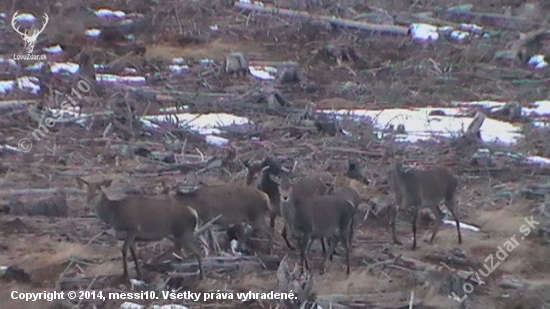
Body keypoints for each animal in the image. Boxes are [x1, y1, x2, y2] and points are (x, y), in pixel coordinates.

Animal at [77, 176, 205, 280]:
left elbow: (124, 250)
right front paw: (138, 274)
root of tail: (194, 213)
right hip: (178, 232)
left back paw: (201, 276)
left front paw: (125, 275)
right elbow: (133, 253)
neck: (114, 214)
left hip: (183, 231)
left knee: (197, 250)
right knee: (182, 246)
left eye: (97, 193)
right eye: (86, 193)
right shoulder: (133, 235)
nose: (88, 203)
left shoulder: (132, 228)